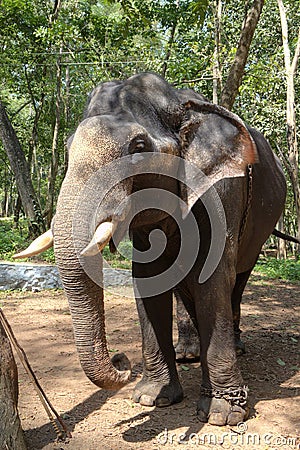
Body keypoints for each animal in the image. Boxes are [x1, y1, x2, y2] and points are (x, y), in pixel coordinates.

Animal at [14, 71, 286, 426]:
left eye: (139, 147)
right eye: (69, 148)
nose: (121, 361)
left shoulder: (223, 190)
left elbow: (212, 278)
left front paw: (221, 415)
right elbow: (148, 278)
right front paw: (152, 398)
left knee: (238, 278)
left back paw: (235, 347)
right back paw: (188, 354)